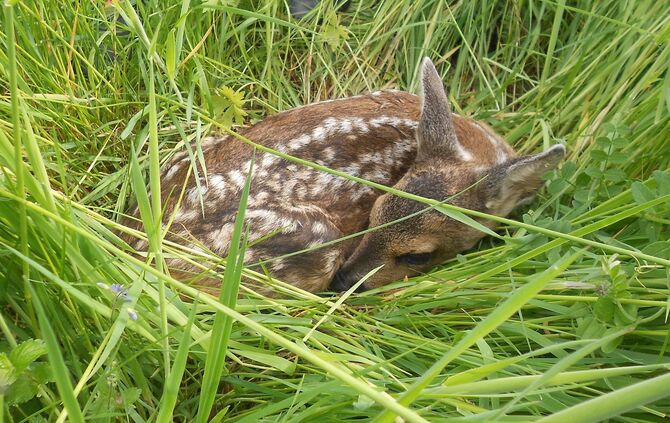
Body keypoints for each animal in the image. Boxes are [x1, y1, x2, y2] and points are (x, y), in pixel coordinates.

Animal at [122, 57, 565, 296]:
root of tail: (139, 246)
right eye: (372, 214)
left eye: (418, 255)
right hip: (309, 238)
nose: (345, 282)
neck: (478, 148)